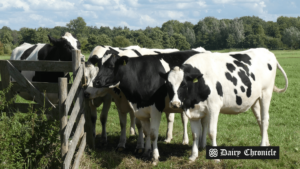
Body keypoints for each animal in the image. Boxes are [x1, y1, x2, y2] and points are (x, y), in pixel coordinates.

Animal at [161, 48, 290, 162]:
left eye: (183, 84)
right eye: (168, 85)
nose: (175, 103)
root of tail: (267, 51)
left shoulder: (214, 107)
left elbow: (212, 132)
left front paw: (215, 158)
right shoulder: (193, 111)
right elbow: (195, 134)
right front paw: (193, 156)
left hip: (266, 93)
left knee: (264, 119)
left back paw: (263, 145)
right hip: (255, 99)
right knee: (259, 120)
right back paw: (267, 144)